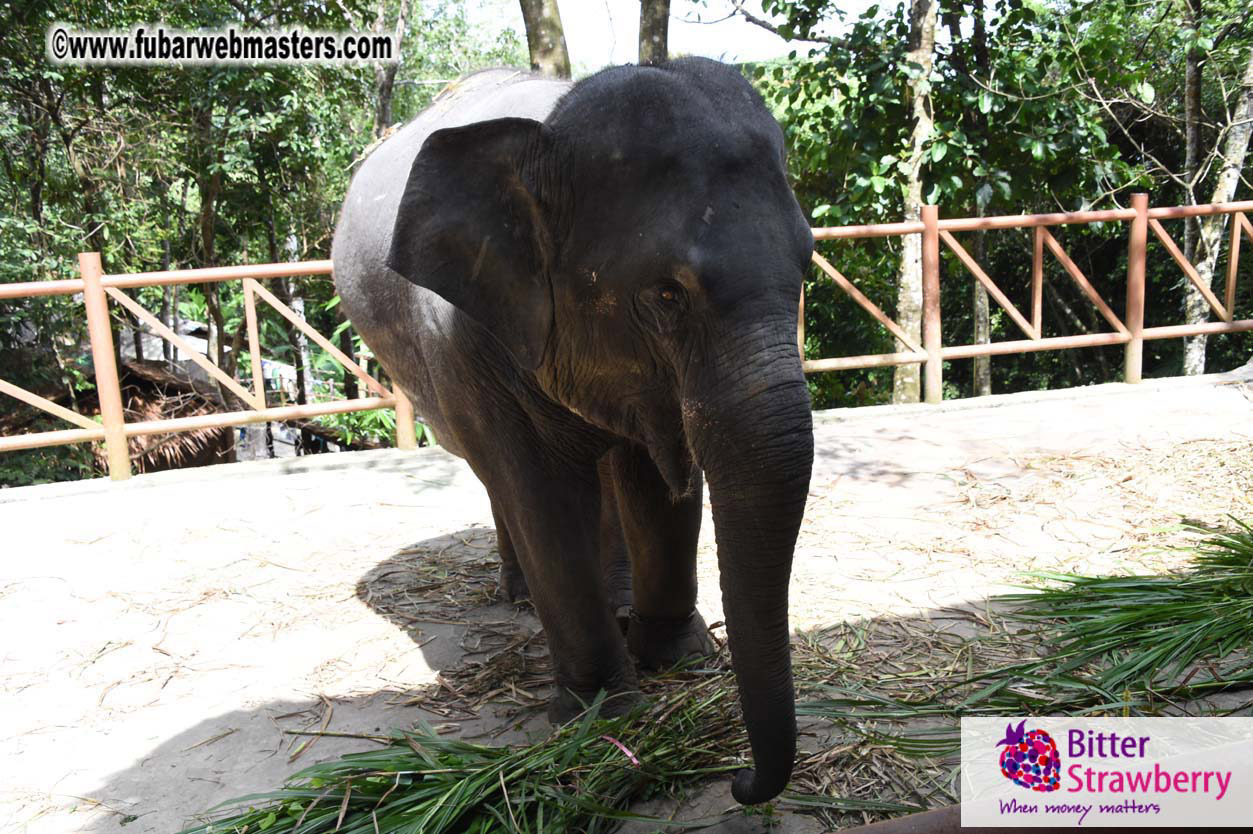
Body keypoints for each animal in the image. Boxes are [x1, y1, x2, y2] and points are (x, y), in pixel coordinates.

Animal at [331, 58, 814, 804]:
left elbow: (655, 483)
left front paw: (677, 658)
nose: (739, 781)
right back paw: (519, 596)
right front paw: (602, 713)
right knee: (497, 478)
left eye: (808, 265)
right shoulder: (468, 336)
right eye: (666, 294)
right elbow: (542, 495)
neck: (545, 138)